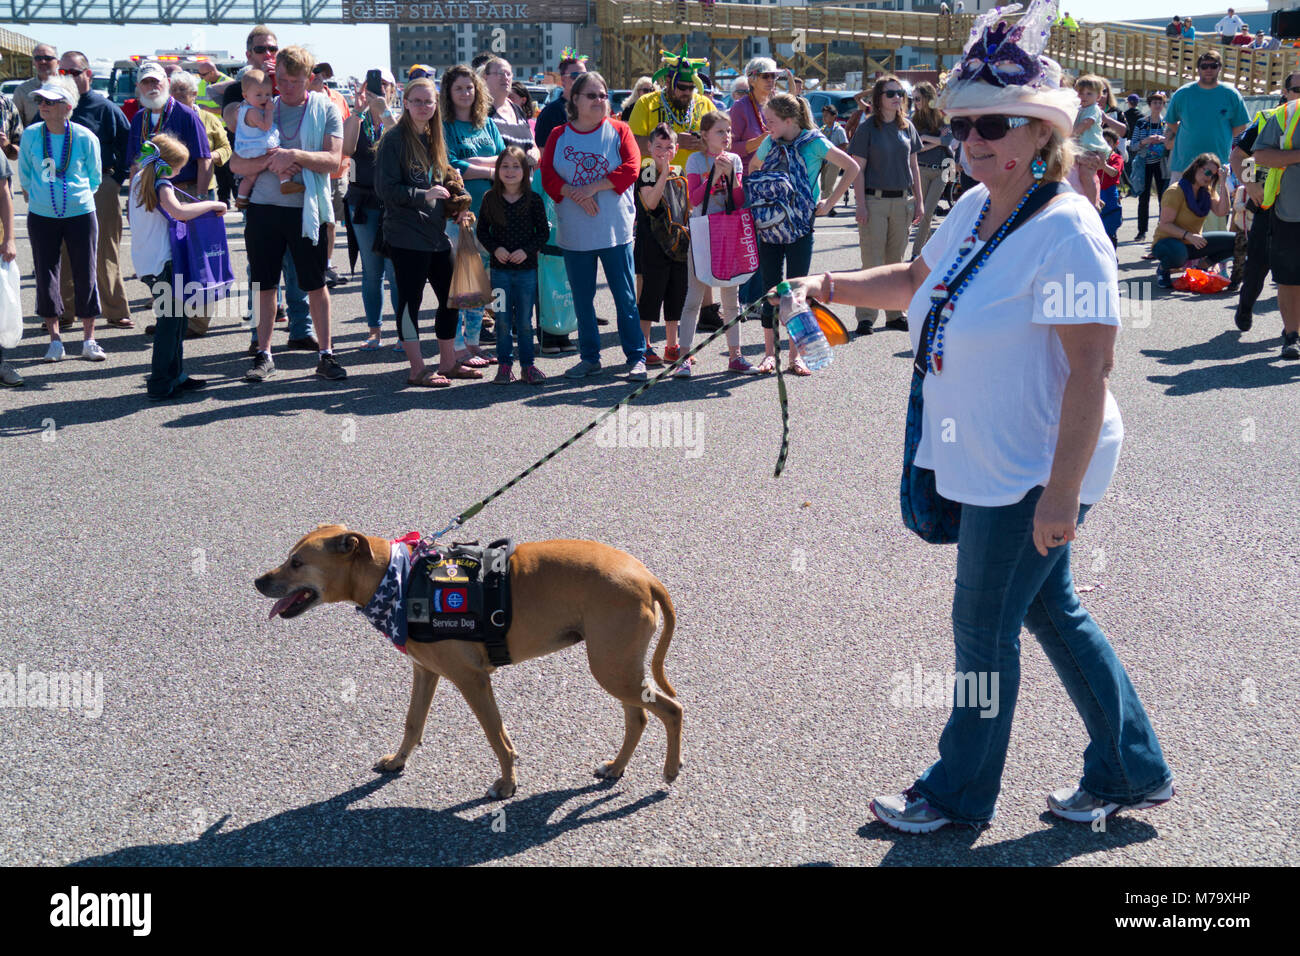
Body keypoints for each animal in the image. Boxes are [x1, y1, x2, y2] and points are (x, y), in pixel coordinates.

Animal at [253, 528, 681, 796]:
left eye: (296, 562)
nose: (257, 581)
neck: (396, 579)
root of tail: (646, 577)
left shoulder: (472, 679)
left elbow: (497, 736)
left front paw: (507, 786)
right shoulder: (425, 672)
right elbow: (413, 722)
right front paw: (398, 761)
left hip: (612, 668)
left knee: (672, 709)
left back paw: (670, 769)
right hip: (618, 666)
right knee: (639, 717)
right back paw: (616, 767)